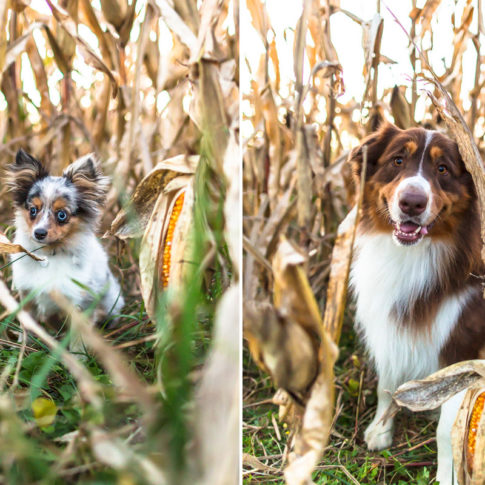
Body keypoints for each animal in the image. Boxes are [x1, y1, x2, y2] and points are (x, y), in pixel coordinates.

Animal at [6, 149, 123, 338]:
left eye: (62, 215)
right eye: (33, 210)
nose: (39, 233)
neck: (49, 254)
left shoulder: (79, 301)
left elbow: (78, 337)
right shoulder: (27, 294)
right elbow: (27, 328)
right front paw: (23, 345)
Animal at [348, 123, 484, 482]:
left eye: (443, 169)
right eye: (397, 160)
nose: (411, 202)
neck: (413, 256)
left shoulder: (463, 350)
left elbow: (448, 427)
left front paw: (448, 476)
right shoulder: (389, 326)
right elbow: (386, 383)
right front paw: (380, 429)